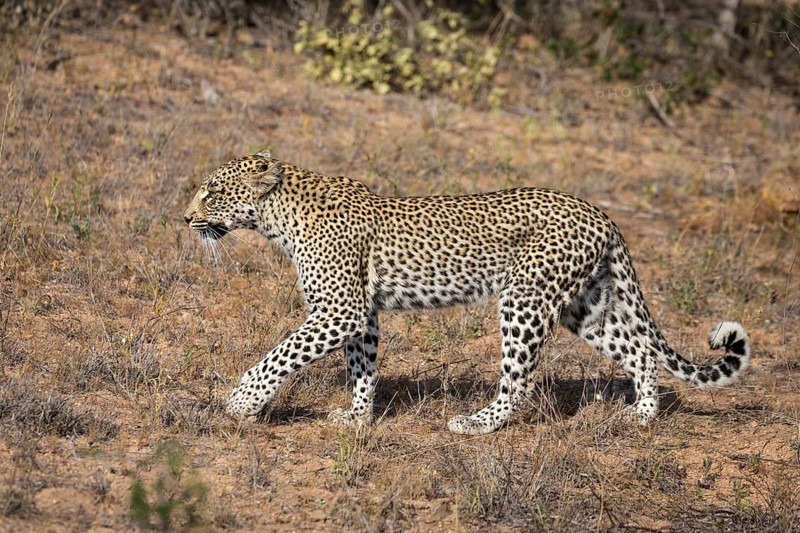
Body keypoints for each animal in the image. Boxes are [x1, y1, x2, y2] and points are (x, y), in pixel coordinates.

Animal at [183, 151, 751, 435]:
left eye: (212, 192)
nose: (185, 218)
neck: (277, 217)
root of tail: (601, 212)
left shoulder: (340, 311)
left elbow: (276, 356)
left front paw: (241, 403)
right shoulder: (361, 315)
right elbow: (362, 366)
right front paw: (358, 417)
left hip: (524, 299)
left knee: (520, 381)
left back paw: (478, 424)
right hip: (585, 306)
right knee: (641, 352)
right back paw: (642, 416)